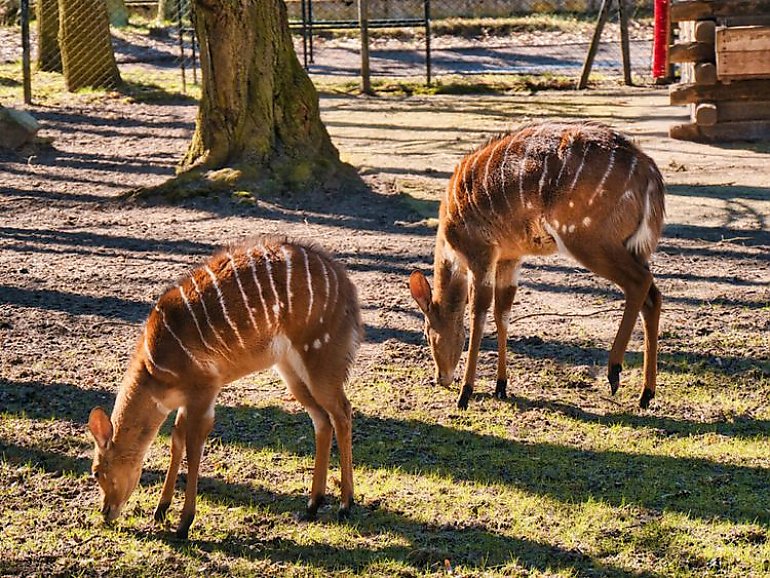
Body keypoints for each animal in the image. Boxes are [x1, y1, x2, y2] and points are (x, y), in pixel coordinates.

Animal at [85, 234, 362, 536]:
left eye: (97, 471)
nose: (106, 512)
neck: (155, 368)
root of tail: (347, 288)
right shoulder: (187, 401)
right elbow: (177, 439)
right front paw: (161, 510)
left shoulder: (204, 389)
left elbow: (194, 446)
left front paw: (184, 523)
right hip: (291, 369)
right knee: (322, 419)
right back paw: (312, 504)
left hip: (320, 359)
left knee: (343, 412)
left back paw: (345, 504)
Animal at [412, 121, 664, 410]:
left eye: (427, 333)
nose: (440, 378)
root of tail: (649, 173)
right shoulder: (510, 258)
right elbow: (502, 313)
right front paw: (501, 387)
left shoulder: (480, 253)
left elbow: (479, 313)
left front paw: (465, 393)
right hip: (634, 247)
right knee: (652, 296)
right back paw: (645, 394)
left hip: (587, 240)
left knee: (639, 282)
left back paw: (614, 371)